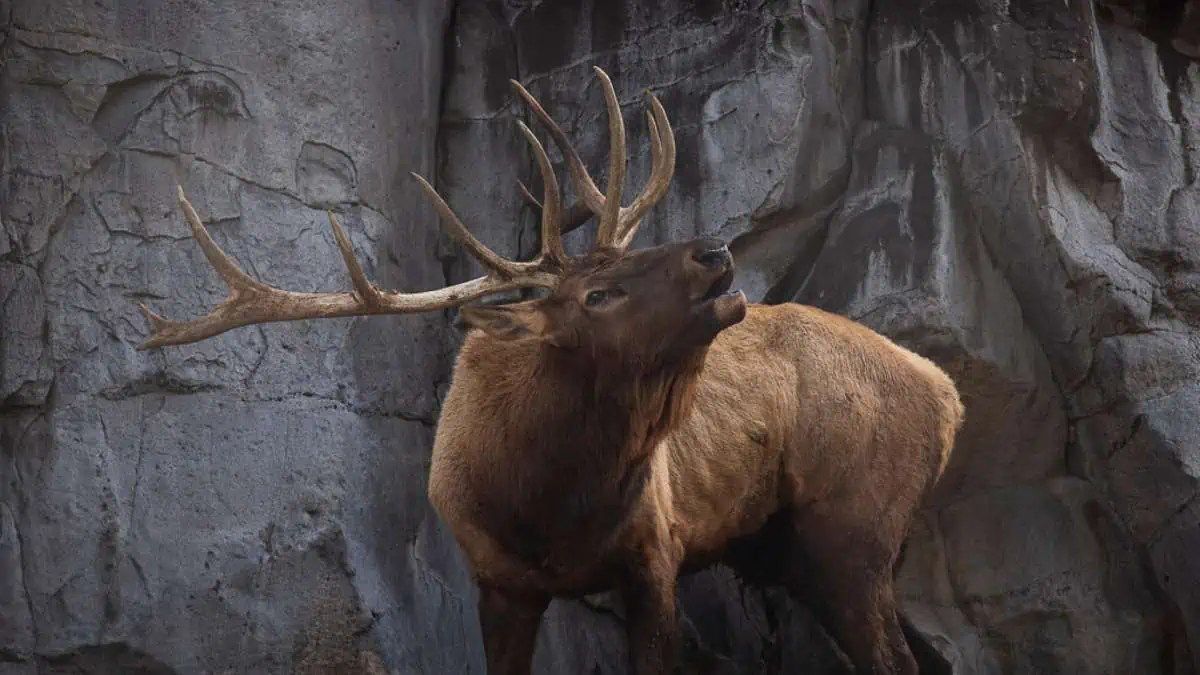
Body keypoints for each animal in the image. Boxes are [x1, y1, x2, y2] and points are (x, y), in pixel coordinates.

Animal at [137, 67, 964, 675]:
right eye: (597, 292)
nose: (714, 252)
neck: (551, 505)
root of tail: (947, 393)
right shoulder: (499, 581)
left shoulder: (655, 551)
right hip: (822, 547)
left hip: (852, 530)